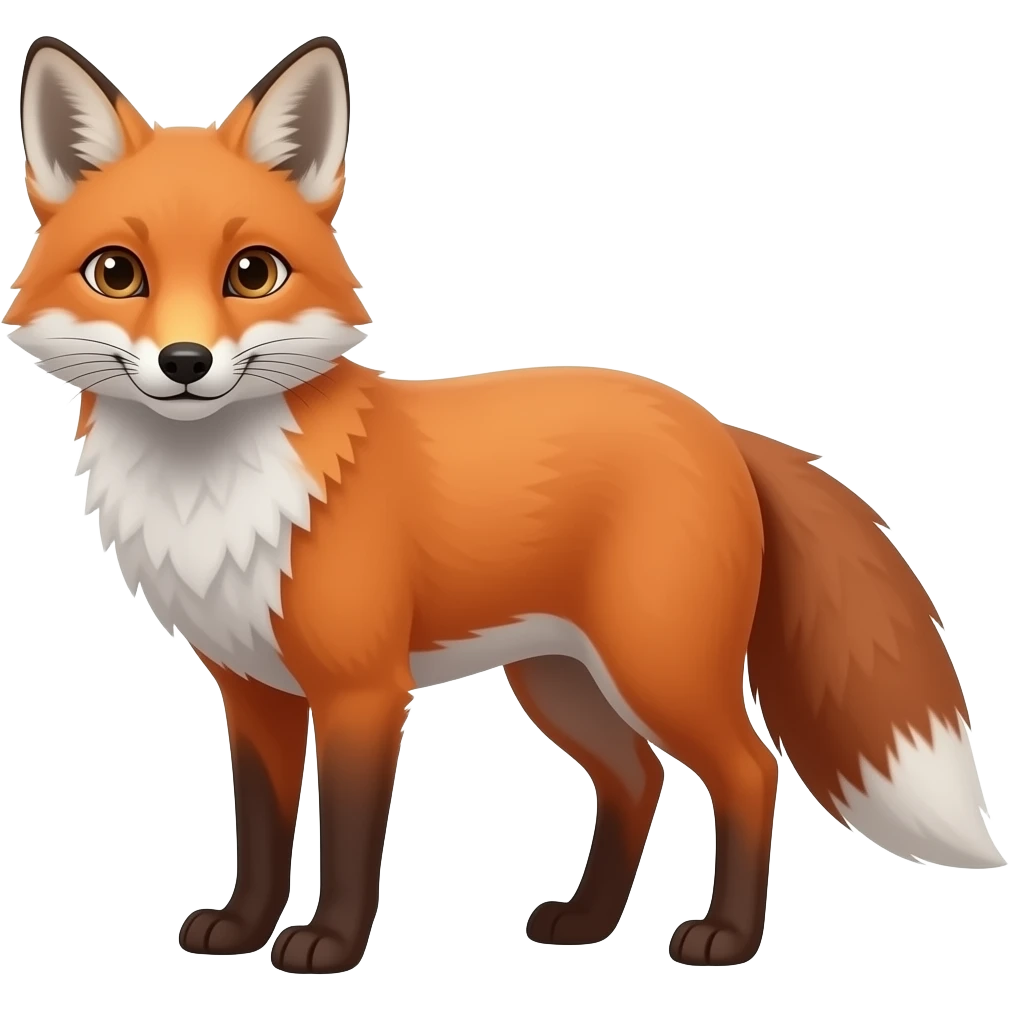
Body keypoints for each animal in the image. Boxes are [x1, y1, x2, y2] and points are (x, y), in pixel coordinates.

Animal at [6, 33, 1004, 975]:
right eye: (116, 272)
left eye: (253, 273)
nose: (185, 363)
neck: (215, 493)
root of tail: (716, 424)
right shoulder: (253, 690)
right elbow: (258, 830)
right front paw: (242, 928)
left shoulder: (363, 689)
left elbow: (349, 837)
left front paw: (329, 942)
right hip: (560, 678)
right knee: (637, 778)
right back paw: (586, 923)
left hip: (657, 666)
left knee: (749, 771)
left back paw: (725, 935)